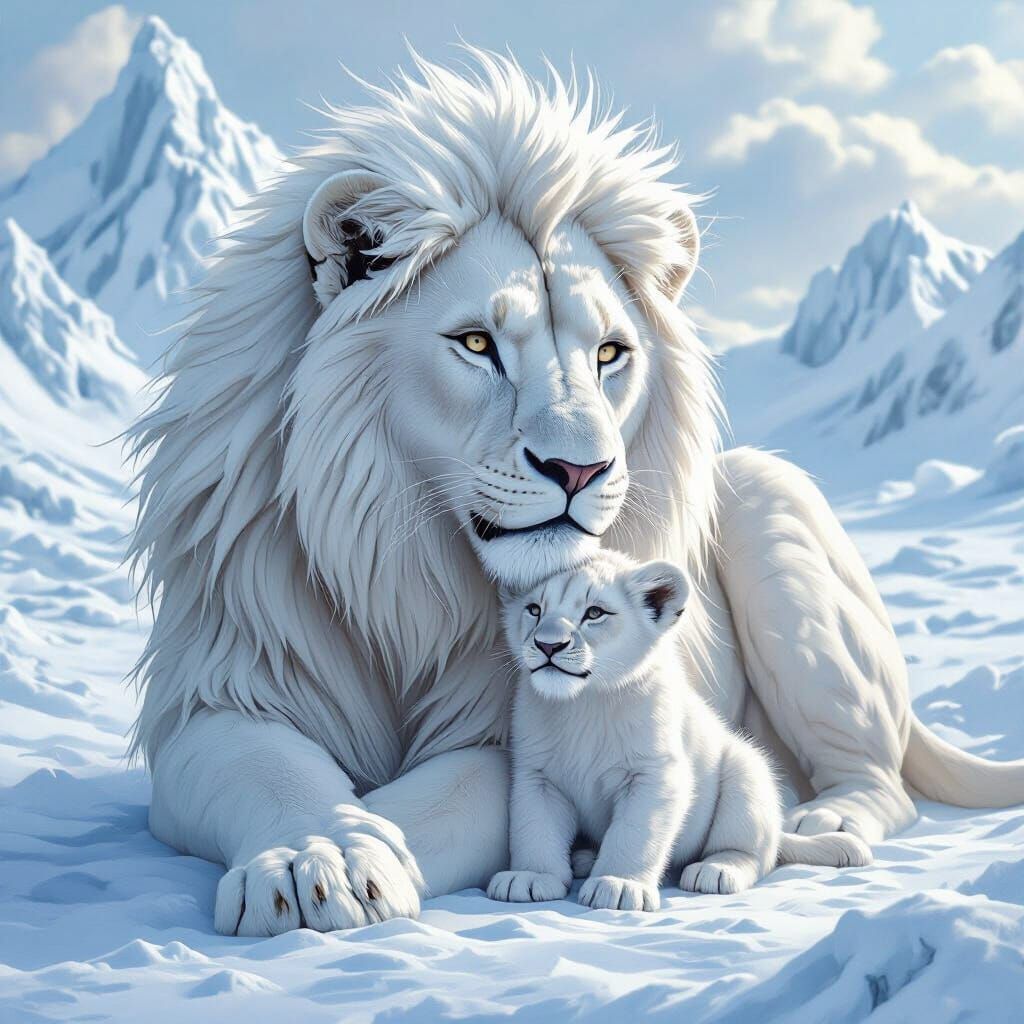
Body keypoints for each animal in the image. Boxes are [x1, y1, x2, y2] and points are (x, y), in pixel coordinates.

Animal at [129, 50, 1024, 936]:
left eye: (609, 353)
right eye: (477, 344)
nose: (581, 471)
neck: (403, 578)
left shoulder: (510, 731)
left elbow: (440, 802)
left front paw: (365, 861)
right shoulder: (220, 693)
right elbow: (268, 770)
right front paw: (312, 859)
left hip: (782, 532)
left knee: (880, 783)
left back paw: (816, 819)